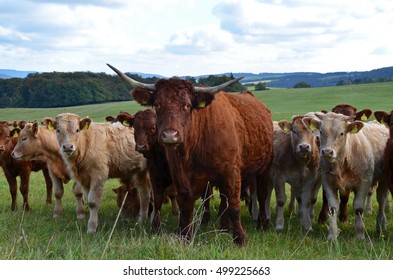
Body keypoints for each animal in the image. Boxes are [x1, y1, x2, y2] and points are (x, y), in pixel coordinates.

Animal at [107, 63, 272, 245]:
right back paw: (224, 228)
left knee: (262, 196)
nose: (170, 135)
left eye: (187, 105)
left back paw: (261, 224)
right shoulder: (179, 176)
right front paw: (185, 236)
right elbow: (185, 205)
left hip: (263, 169)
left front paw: (240, 239)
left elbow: (234, 204)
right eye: (157, 104)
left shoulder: (231, 172)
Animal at [302, 112, 388, 241]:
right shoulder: (328, 182)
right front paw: (332, 235)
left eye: (342, 133)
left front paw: (360, 234)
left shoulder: (364, 182)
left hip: (383, 181)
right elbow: (333, 208)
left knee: (382, 201)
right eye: (321, 131)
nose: (327, 152)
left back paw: (381, 225)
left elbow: (358, 207)